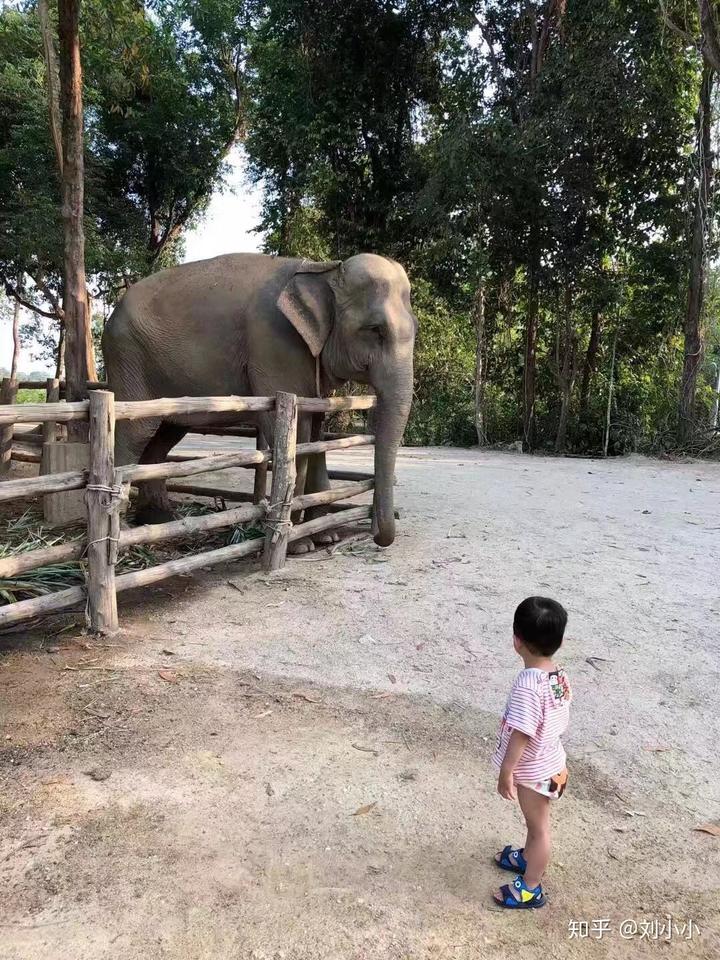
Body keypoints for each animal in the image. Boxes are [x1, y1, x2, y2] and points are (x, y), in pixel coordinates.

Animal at [102, 249, 416, 548]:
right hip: (129, 361)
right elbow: (297, 434)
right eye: (375, 330)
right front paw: (301, 545)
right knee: (134, 434)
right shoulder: (275, 345)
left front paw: (326, 537)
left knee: (162, 438)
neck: (322, 270)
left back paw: (160, 519)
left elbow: (316, 433)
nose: (378, 534)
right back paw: (125, 534)